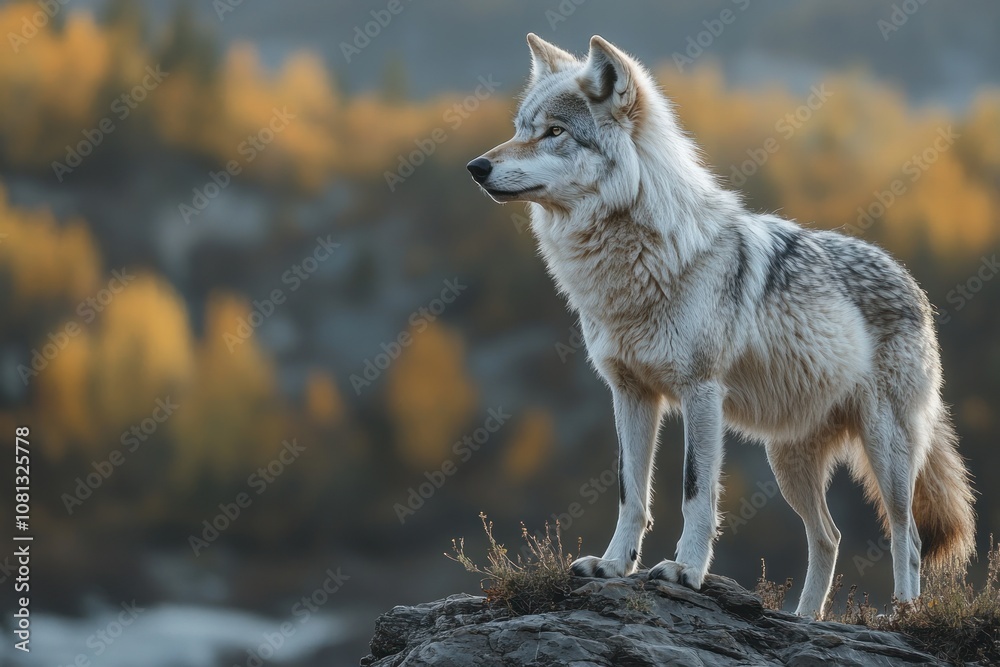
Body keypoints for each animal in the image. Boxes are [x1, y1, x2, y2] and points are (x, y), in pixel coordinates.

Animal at [466, 33, 975, 618]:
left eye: (554, 132)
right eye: (521, 128)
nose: (476, 166)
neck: (634, 264)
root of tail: (911, 282)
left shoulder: (700, 391)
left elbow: (695, 493)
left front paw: (685, 572)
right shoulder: (630, 393)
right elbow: (631, 492)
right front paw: (614, 565)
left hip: (886, 449)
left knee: (906, 536)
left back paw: (900, 615)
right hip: (788, 461)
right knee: (829, 536)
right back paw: (803, 618)